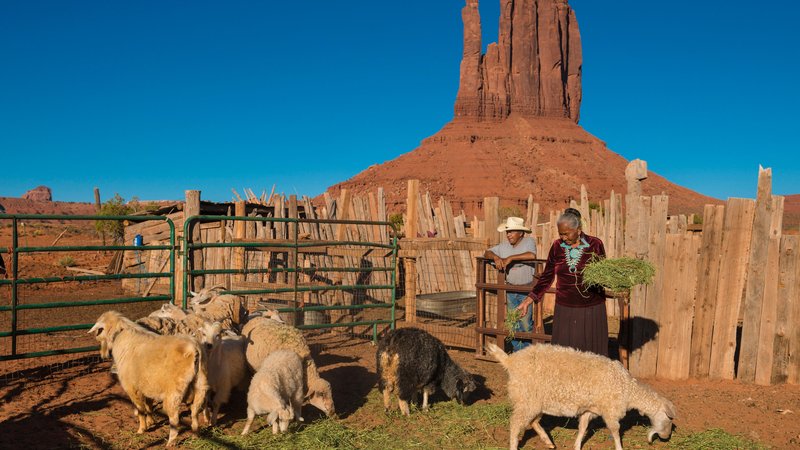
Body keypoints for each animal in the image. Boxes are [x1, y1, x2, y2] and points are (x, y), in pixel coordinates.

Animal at [88, 312, 208, 448]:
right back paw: (196, 434)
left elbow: (141, 409)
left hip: (175, 390)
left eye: (99, 330)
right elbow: (149, 406)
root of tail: (194, 348)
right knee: (195, 410)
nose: (102, 355)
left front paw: (142, 429)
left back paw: (171, 442)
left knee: (174, 418)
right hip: (201, 384)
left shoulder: (132, 388)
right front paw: (151, 422)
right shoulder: (148, 385)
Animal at [488, 342, 676, 450]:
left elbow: (583, 428)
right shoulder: (610, 411)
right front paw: (619, 447)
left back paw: (548, 441)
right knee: (515, 423)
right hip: (526, 398)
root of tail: (511, 361)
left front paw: (577, 445)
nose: (667, 437)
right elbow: (615, 431)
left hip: (534, 402)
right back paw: (515, 445)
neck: (628, 388)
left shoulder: (589, 410)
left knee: (532, 421)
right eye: (669, 418)